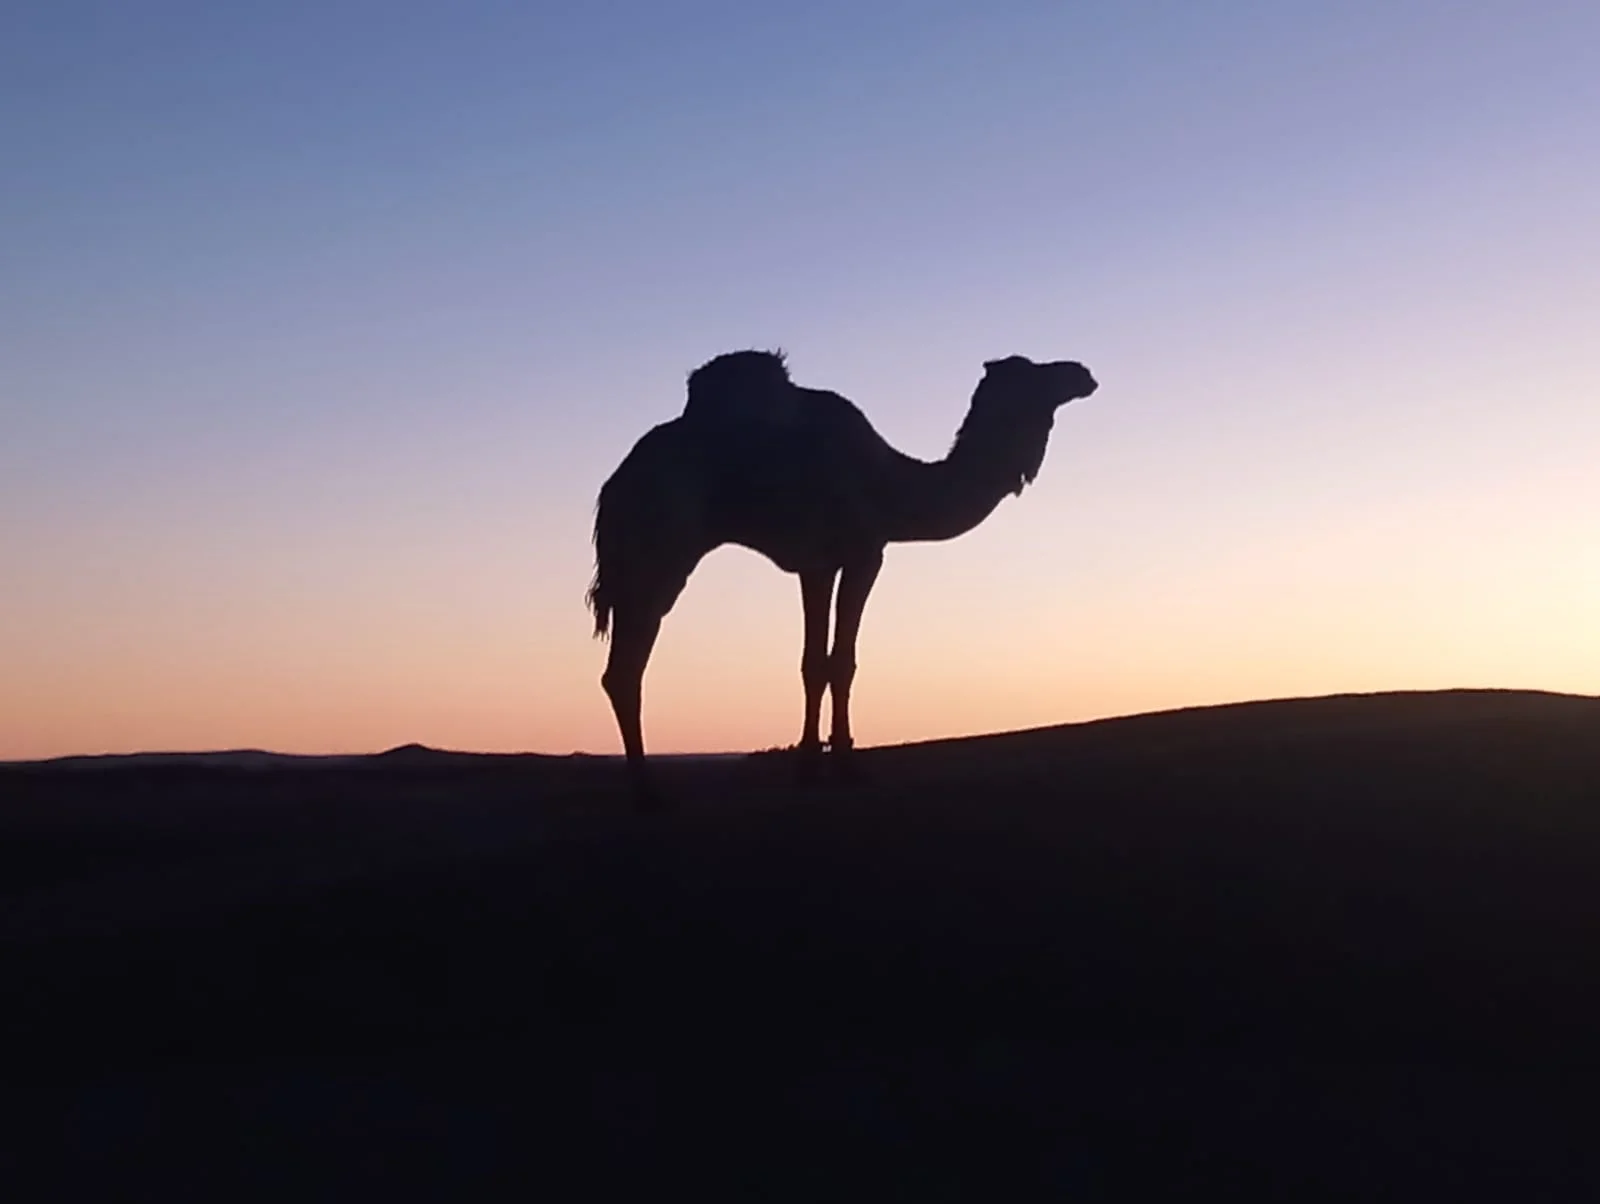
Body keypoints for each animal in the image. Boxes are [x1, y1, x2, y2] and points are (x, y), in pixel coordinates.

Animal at [586, 349, 1099, 807]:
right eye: (1034, 374)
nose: (1082, 373)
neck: (891, 486)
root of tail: (612, 488)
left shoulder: (818, 563)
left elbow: (818, 663)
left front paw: (813, 765)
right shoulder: (862, 553)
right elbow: (841, 662)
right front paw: (844, 766)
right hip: (658, 556)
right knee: (626, 670)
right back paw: (647, 791)